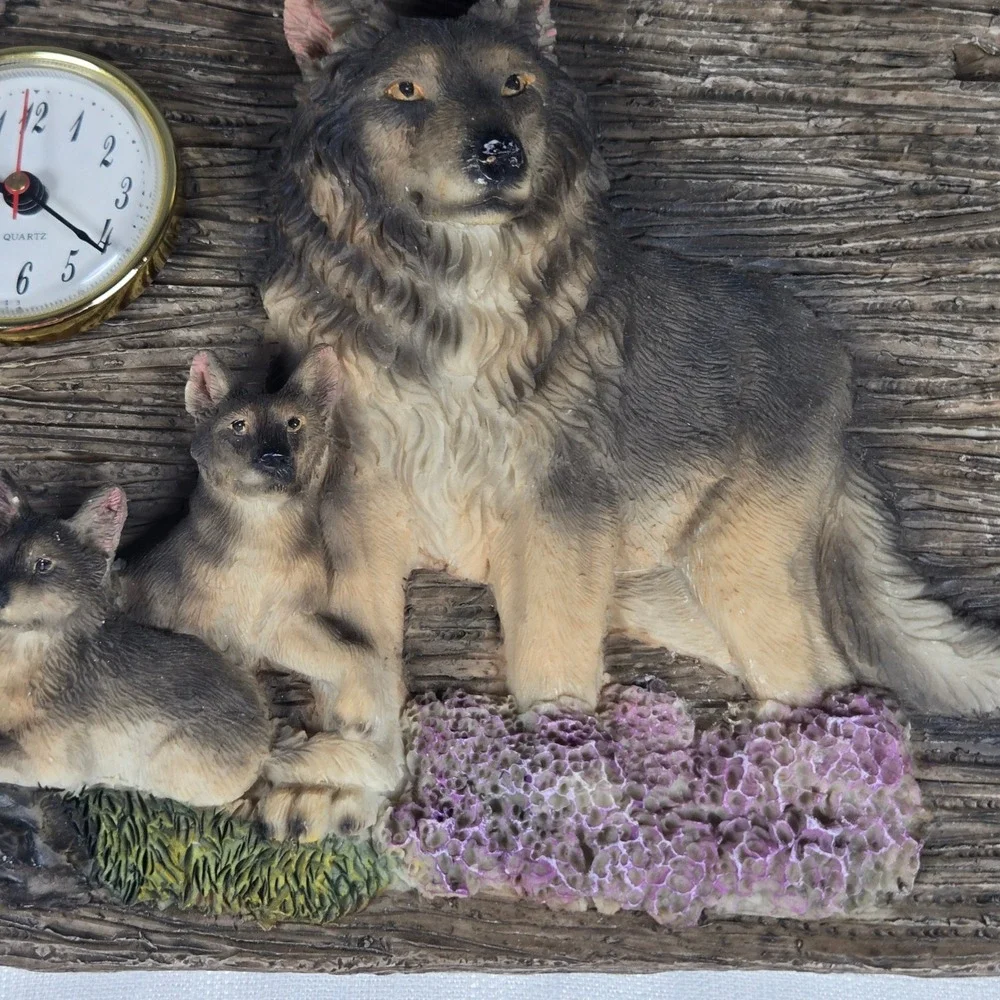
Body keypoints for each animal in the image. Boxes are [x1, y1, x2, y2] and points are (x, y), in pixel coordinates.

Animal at [120, 345, 403, 839]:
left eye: (294, 423)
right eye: (238, 425)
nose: (273, 457)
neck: (260, 549)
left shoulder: (280, 625)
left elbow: (358, 656)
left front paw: (362, 717)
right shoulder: (197, 633)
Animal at [262, 0, 1000, 773]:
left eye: (516, 83)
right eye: (406, 90)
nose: (499, 153)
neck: (454, 302)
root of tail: (835, 363)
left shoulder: (555, 522)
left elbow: (551, 674)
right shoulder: (357, 515)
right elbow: (361, 667)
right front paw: (352, 778)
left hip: (732, 571)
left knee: (826, 684)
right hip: (666, 592)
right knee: (833, 673)